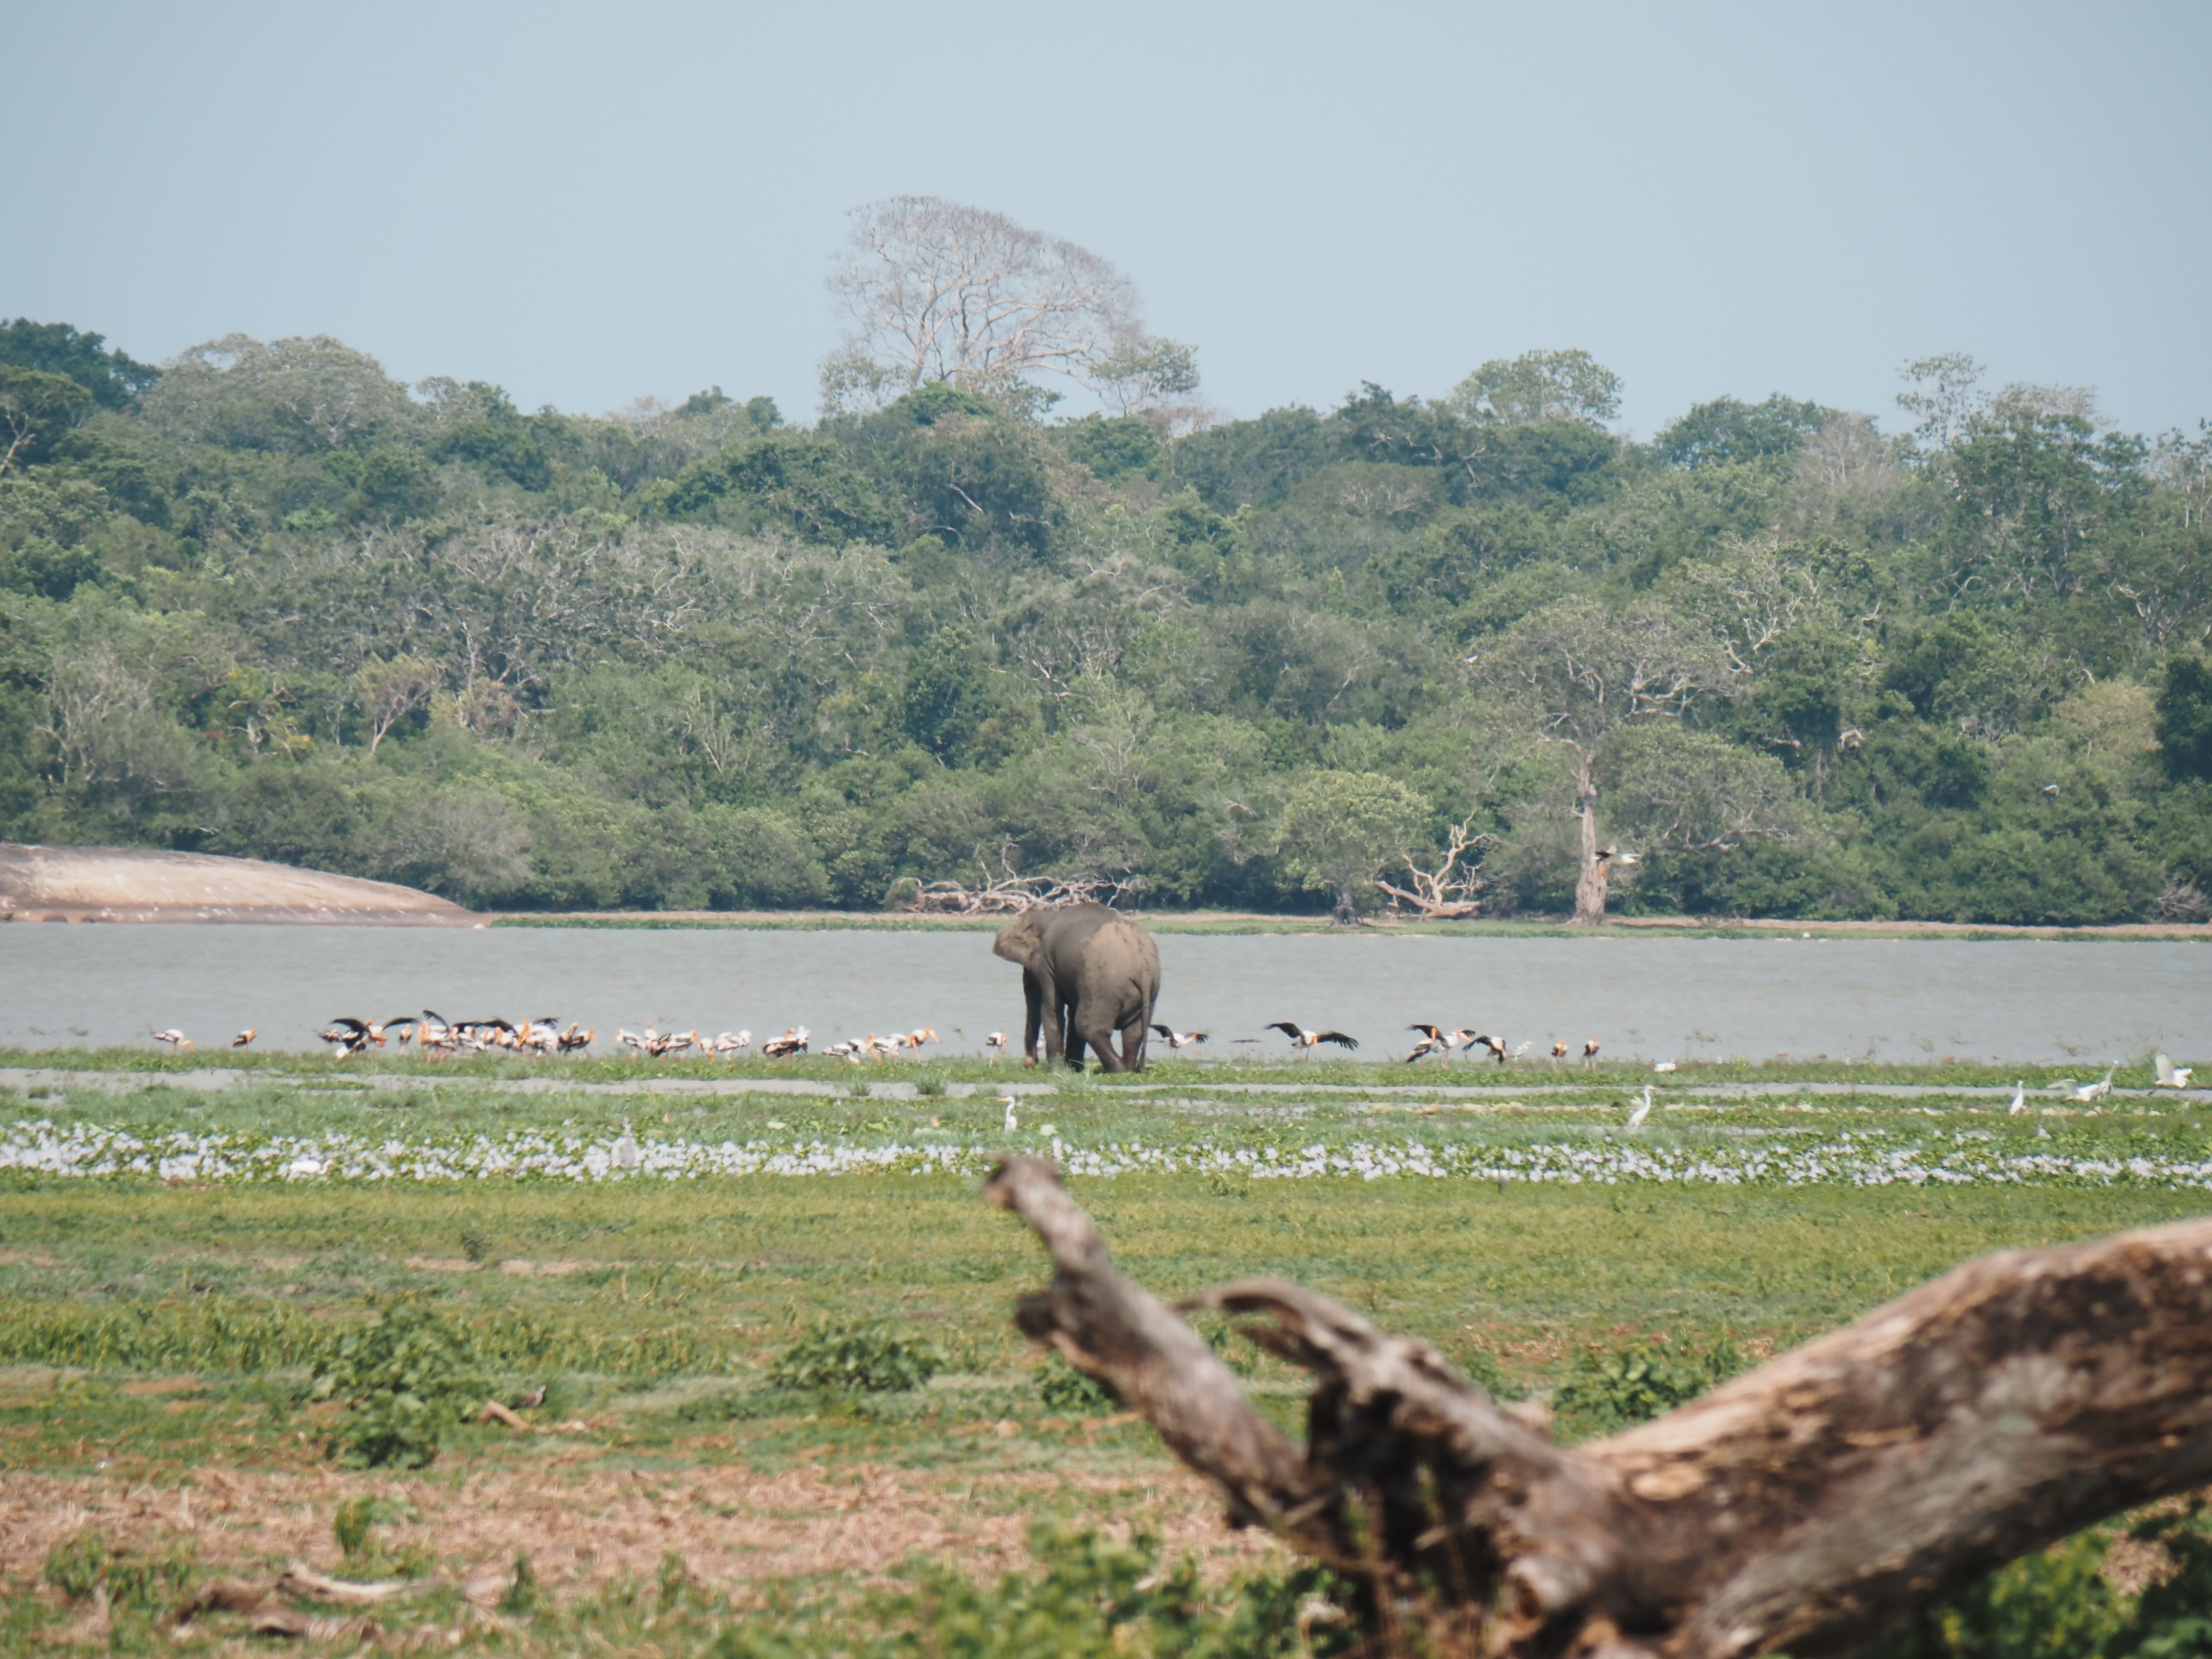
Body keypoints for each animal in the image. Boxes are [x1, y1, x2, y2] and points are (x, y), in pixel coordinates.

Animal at [987, 902, 1159, 1071]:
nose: (1030, 1063)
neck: (1048, 916)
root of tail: (1143, 968)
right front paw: (1074, 1069)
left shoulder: (1047, 965)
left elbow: (1053, 1009)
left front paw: (1057, 1071)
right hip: (1148, 992)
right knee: (1134, 1033)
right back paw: (1128, 1069)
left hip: (1103, 988)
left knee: (1088, 1027)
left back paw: (1119, 1070)